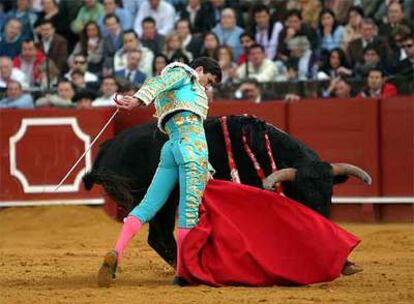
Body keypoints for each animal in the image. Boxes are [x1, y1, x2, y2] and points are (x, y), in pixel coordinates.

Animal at [84, 115, 372, 268]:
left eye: (329, 191)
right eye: (301, 192)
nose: (321, 217)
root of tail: (110, 144)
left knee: (158, 236)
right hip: (162, 200)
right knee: (160, 236)